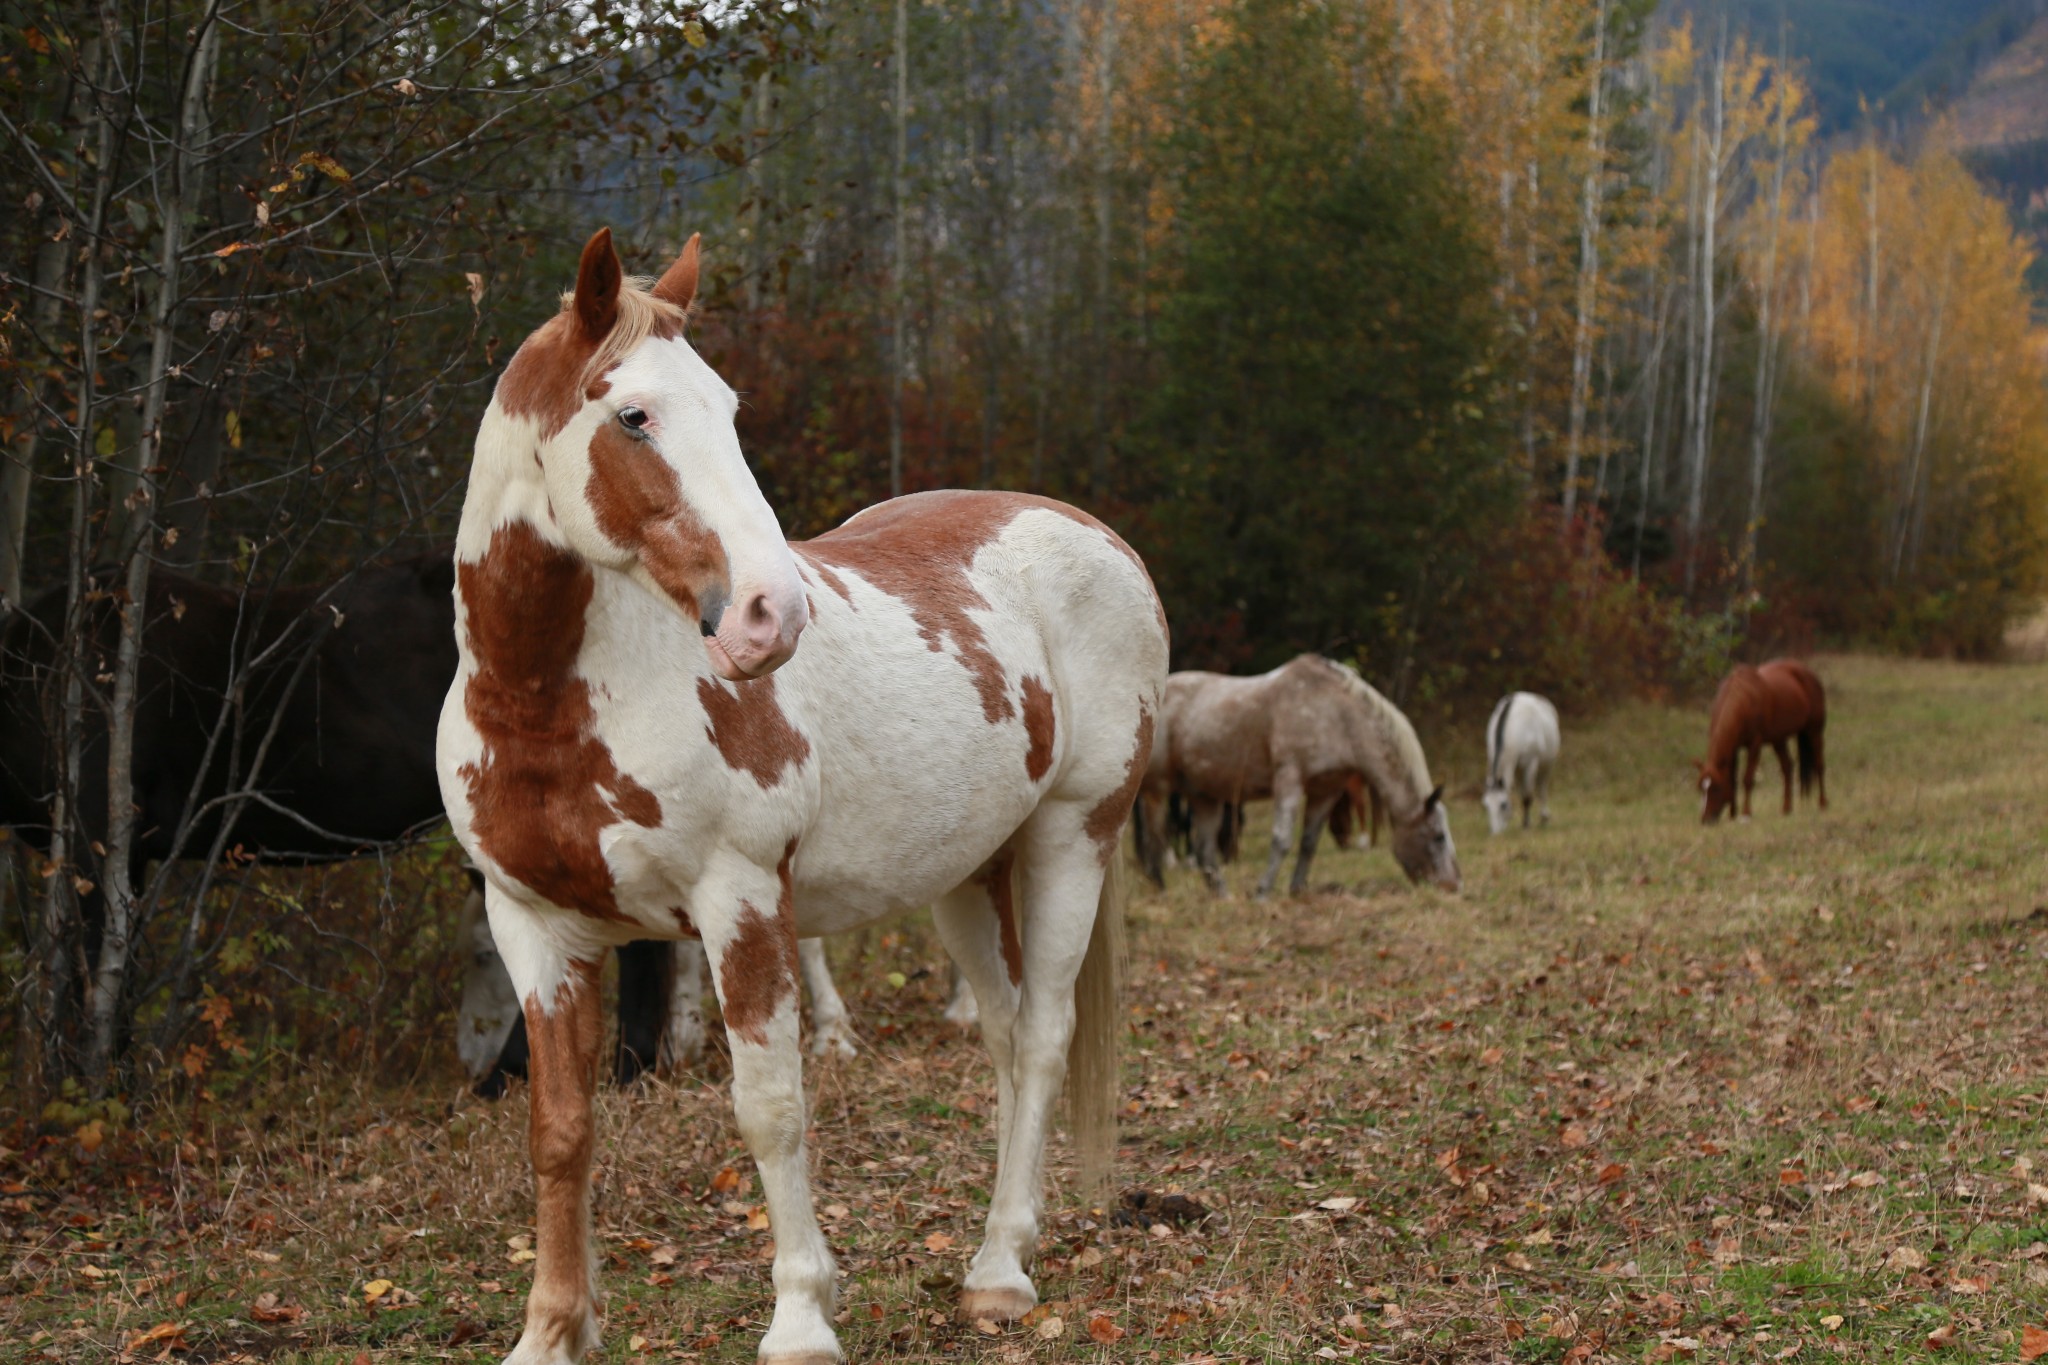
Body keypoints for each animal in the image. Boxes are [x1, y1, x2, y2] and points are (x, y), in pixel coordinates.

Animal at [436, 227, 1171, 1365]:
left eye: (729, 408)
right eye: (633, 415)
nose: (767, 614)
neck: (549, 705)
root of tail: (1089, 533)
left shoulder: (739, 904)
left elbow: (770, 1109)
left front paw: (799, 1318)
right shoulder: (535, 930)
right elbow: (559, 1131)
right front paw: (552, 1331)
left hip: (1072, 839)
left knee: (1045, 1037)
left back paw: (1002, 1271)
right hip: (969, 873)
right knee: (1006, 1036)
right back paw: (999, 1249)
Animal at [1138, 654, 1458, 900]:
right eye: (1439, 836)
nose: (1454, 886)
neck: (1335, 713)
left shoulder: (1325, 790)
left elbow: (1309, 842)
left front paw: (1297, 889)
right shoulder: (1289, 780)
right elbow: (1282, 840)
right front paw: (1263, 892)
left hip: (1205, 796)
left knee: (1204, 851)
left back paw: (1223, 897)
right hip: (1158, 790)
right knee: (1156, 838)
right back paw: (1160, 889)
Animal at [1482, 695, 1556, 834]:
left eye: (1503, 804)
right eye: (1486, 805)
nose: (1495, 833)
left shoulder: (1531, 763)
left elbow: (1527, 795)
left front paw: (1526, 823)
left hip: (1547, 763)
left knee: (1542, 786)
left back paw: (1544, 816)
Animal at [1695, 658, 1826, 822]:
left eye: (1717, 787)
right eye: (1700, 787)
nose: (1705, 820)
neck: (1742, 700)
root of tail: (1809, 674)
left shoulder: (1754, 745)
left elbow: (1747, 779)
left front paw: (1745, 813)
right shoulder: (1733, 747)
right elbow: (1733, 779)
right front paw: (1732, 814)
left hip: (1814, 730)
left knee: (1819, 765)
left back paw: (1823, 803)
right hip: (1779, 739)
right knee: (1787, 767)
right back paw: (1786, 809)